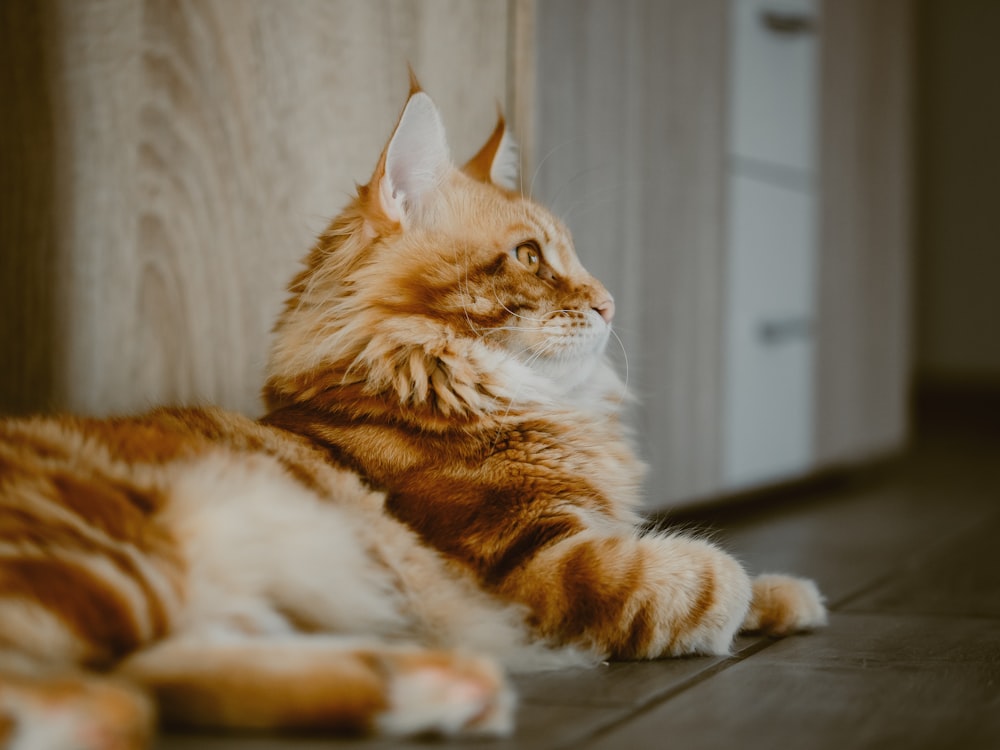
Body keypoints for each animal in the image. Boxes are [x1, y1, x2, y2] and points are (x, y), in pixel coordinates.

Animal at [0, 81, 828, 748]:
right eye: (531, 257)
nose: (609, 302)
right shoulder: (537, 565)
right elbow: (704, 575)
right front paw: (749, 594)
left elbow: (728, 567)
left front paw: (792, 596)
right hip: (117, 560)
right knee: (109, 692)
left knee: (168, 672)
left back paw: (436, 686)